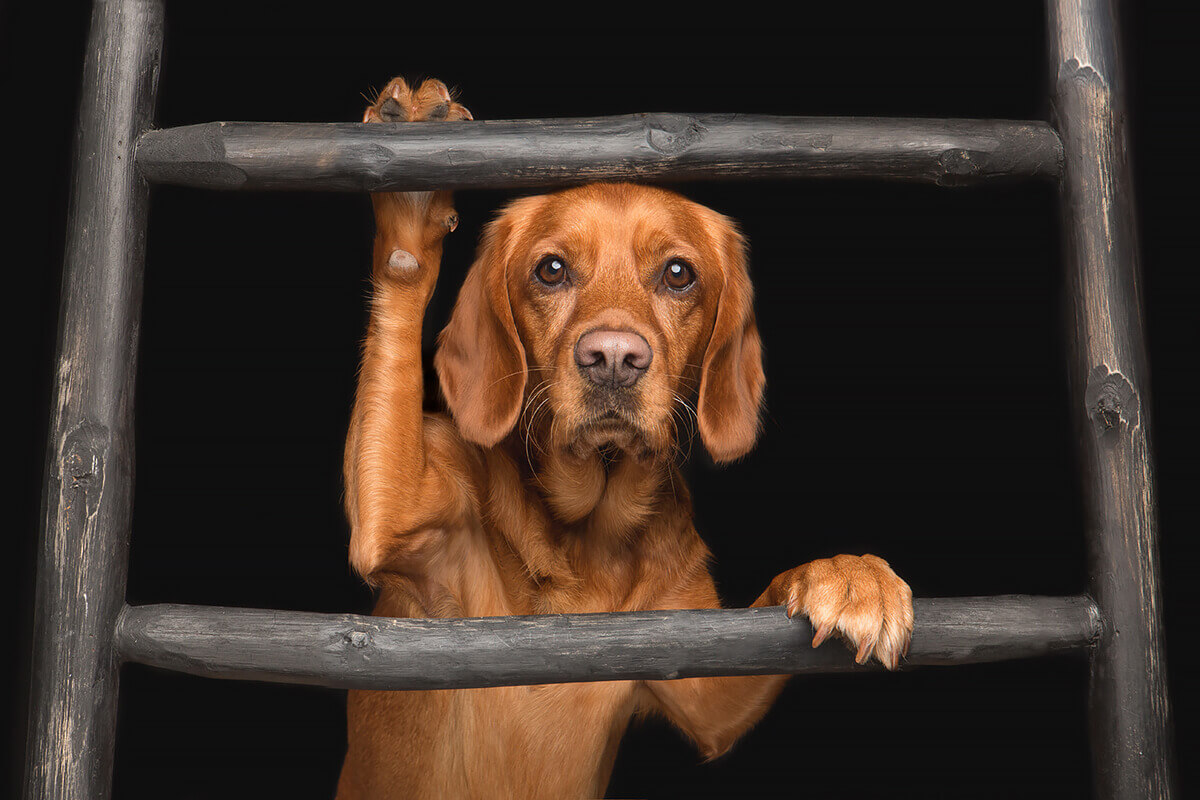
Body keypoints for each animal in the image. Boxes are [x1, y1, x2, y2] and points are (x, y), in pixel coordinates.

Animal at [333, 76, 912, 800]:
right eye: (551, 270)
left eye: (678, 274)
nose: (613, 358)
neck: (591, 534)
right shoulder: (405, 526)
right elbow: (403, 287)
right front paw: (412, 202)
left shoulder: (706, 687)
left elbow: (779, 590)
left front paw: (851, 575)